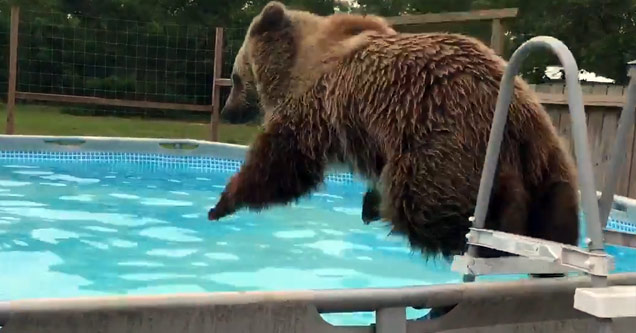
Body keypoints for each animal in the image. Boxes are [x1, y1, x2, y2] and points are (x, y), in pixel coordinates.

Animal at [210, 0, 580, 260]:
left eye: (236, 77)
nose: (228, 111)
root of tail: (517, 121)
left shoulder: (313, 108)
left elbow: (281, 164)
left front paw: (222, 202)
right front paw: (368, 202)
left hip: (445, 142)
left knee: (429, 208)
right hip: (549, 161)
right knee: (558, 216)